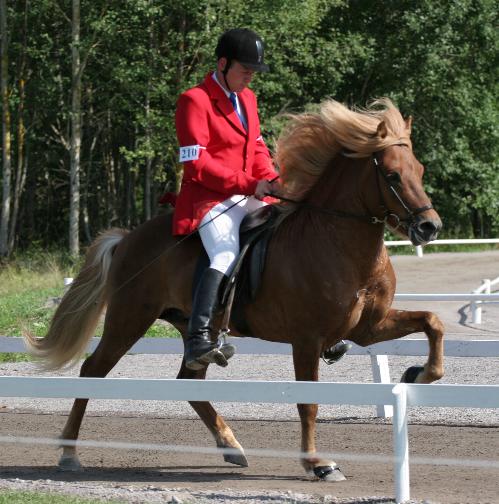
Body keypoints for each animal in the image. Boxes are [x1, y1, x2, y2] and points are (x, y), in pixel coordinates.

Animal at [24, 97, 446, 480]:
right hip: (129, 319)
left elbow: (432, 321)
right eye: (392, 175)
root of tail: (127, 238)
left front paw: (419, 374)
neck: (337, 240)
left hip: (191, 328)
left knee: (189, 381)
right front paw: (317, 463)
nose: (430, 228)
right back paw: (68, 453)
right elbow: (308, 402)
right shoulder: (307, 340)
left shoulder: (367, 328)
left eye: (419, 169)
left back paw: (231, 445)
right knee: (93, 370)